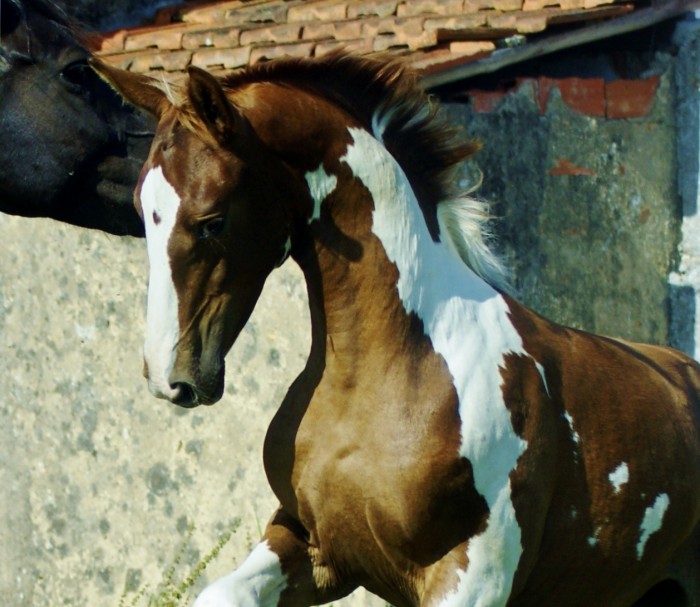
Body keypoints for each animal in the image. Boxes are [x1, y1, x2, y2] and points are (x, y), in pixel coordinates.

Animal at [93, 53, 700, 607]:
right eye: (141, 212)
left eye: (212, 220)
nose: (171, 377)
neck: (388, 370)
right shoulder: (311, 542)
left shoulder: (472, 577)